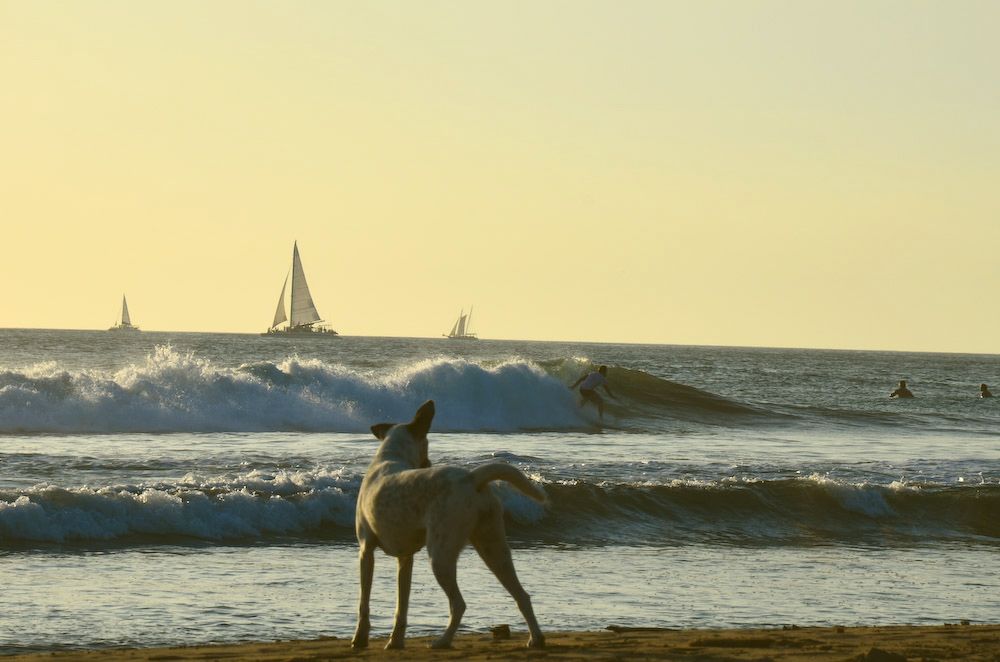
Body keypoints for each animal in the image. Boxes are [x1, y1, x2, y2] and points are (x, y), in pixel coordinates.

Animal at [352, 402, 548, 652]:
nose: (428, 464)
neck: (390, 455)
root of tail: (471, 478)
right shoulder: (405, 559)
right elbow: (401, 607)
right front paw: (395, 641)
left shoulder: (365, 550)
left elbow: (363, 603)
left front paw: (360, 638)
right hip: (494, 547)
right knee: (522, 595)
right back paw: (536, 638)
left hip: (440, 555)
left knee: (459, 604)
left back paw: (443, 641)